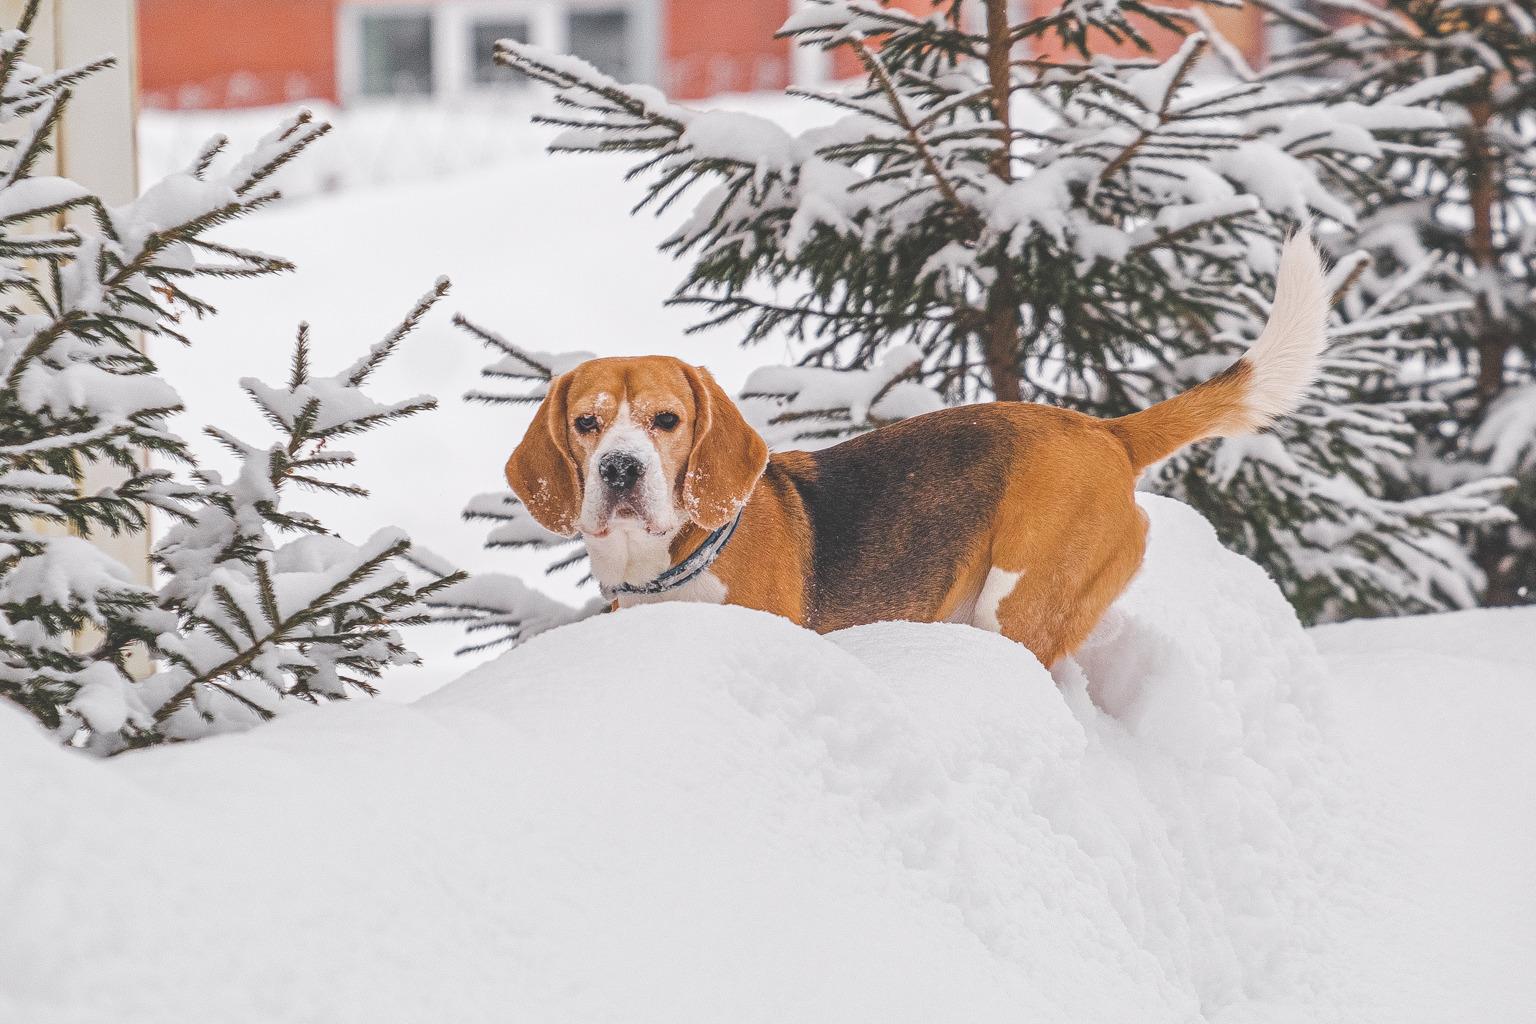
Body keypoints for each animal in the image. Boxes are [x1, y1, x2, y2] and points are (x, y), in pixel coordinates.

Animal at [509, 233, 1327, 669]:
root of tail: (1102, 431)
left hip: (1023, 600)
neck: (667, 564)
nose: (620, 469)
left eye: (667, 420)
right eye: (586, 423)